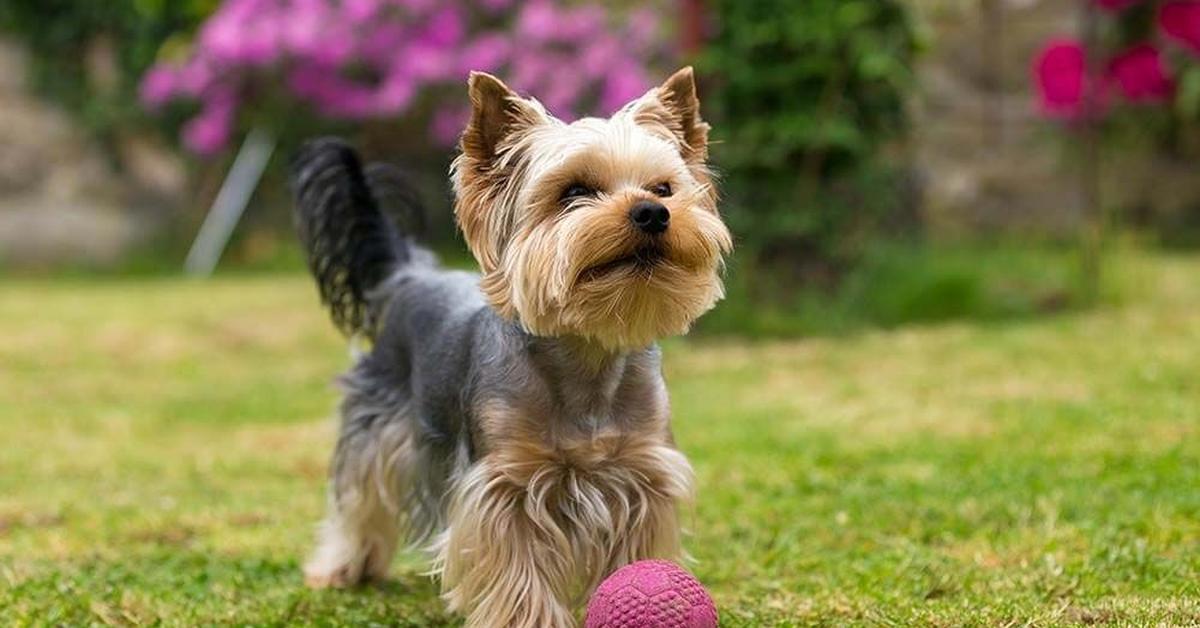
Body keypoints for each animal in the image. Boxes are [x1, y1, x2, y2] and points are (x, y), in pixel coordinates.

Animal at [292, 66, 729, 624]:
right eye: (575, 191)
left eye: (664, 188)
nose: (654, 212)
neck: (587, 351)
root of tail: (410, 273)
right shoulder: (505, 485)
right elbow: (518, 570)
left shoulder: (641, 473)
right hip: (377, 424)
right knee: (358, 497)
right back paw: (343, 568)